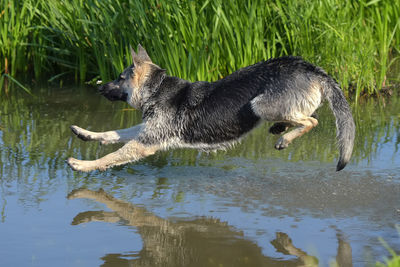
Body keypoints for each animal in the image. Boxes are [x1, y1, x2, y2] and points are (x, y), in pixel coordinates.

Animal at [66, 45, 356, 173]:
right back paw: (281, 128)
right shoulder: (145, 131)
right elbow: (112, 134)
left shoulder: (146, 143)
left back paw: (284, 138)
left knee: (311, 121)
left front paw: (84, 165)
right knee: (308, 116)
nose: (100, 88)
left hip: (260, 105)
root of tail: (312, 68)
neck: (156, 88)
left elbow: (112, 155)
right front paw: (86, 134)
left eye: (118, 78)